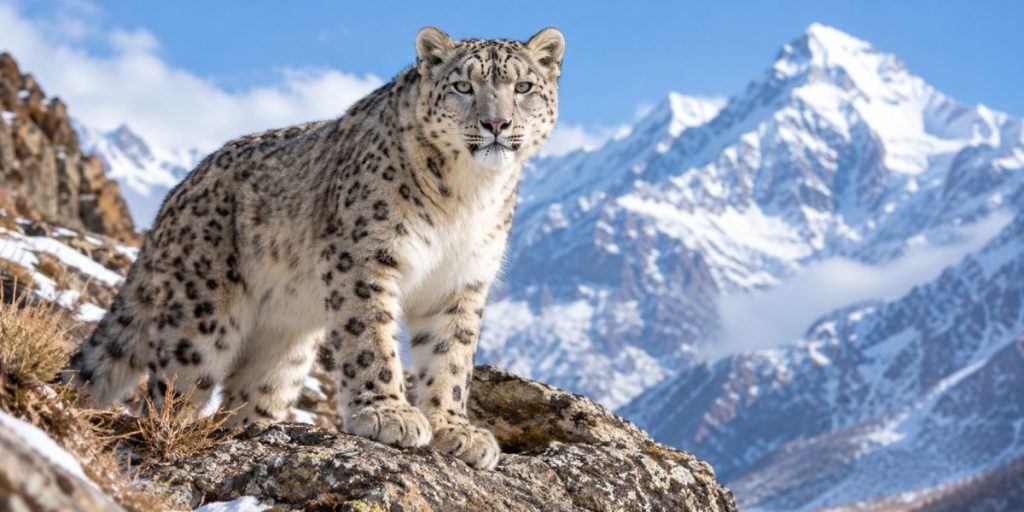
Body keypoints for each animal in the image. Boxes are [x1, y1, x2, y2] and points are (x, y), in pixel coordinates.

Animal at [62, 26, 564, 470]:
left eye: (523, 87)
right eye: (463, 85)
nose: (496, 123)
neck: (465, 195)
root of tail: (171, 201)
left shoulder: (461, 281)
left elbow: (451, 359)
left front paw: (454, 427)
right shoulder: (365, 257)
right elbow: (369, 339)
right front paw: (387, 412)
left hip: (284, 349)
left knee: (248, 396)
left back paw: (248, 431)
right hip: (199, 321)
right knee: (169, 392)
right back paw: (174, 434)